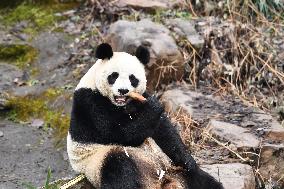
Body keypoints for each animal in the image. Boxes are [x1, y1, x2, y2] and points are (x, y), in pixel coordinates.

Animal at [67, 43, 224, 189]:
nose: (123, 90)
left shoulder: (141, 97)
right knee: (119, 168)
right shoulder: (89, 102)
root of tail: (161, 179)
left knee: (202, 179)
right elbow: (116, 132)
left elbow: (163, 131)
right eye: (114, 76)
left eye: (132, 78)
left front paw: (186, 159)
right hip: (99, 160)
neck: (120, 105)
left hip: (174, 168)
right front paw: (153, 106)